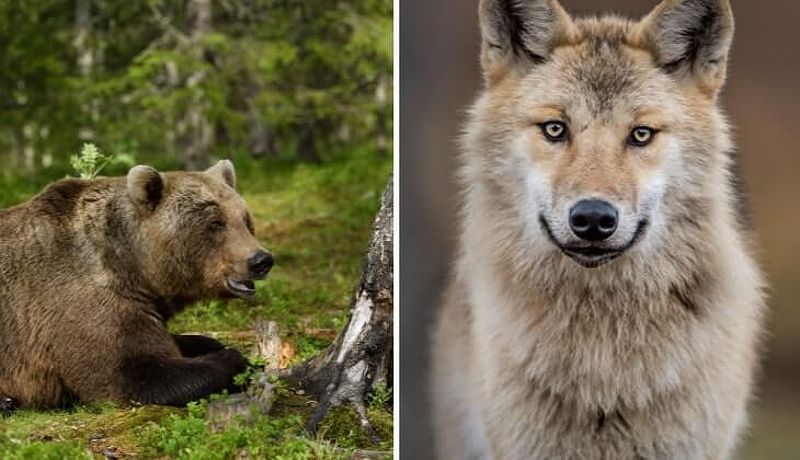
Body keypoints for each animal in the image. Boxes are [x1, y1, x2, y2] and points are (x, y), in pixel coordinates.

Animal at [0, 160, 276, 408]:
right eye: (216, 222)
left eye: (245, 220)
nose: (261, 260)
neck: (133, 269)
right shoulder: (80, 299)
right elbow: (132, 372)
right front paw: (238, 361)